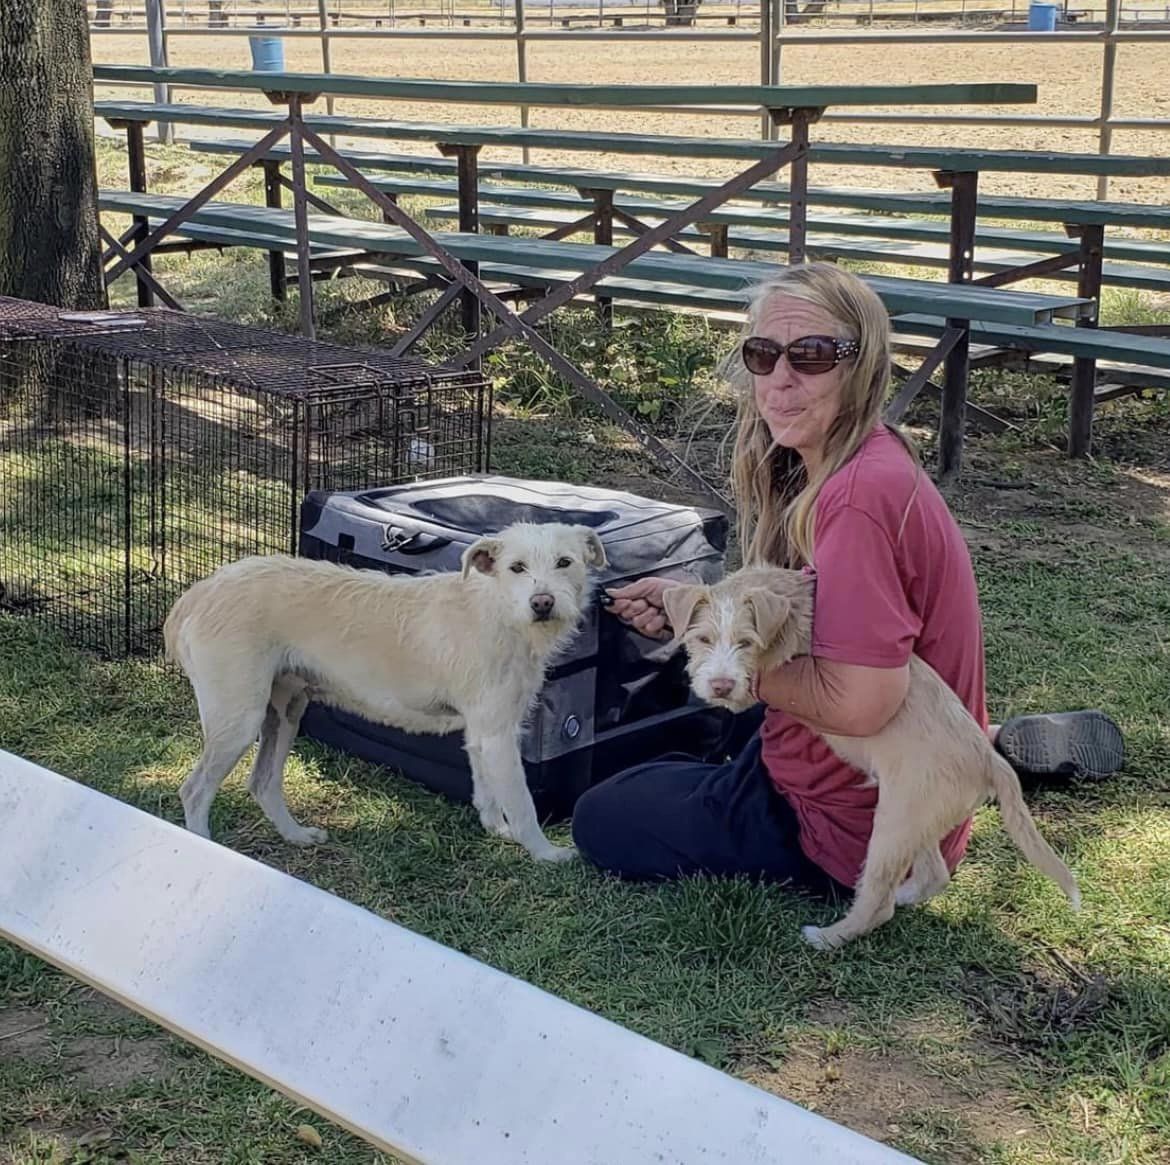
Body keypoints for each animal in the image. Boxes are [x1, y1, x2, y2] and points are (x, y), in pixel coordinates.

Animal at [164, 524, 603, 860]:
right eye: (517, 567)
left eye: (565, 563)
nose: (542, 603)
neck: (498, 611)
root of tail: (198, 593)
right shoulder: (497, 735)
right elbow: (523, 803)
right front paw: (546, 853)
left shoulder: (485, 732)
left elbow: (486, 789)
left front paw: (496, 829)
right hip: (239, 718)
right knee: (195, 791)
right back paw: (203, 847)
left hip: (286, 711)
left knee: (263, 783)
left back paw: (297, 835)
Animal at [659, 568, 1076, 949]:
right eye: (702, 639)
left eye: (746, 642)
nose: (720, 685)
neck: (784, 600)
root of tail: (991, 761)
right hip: (917, 819)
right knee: (932, 874)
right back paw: (906, 895)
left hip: (894, 824)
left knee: (878, 904)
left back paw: (827, 937)